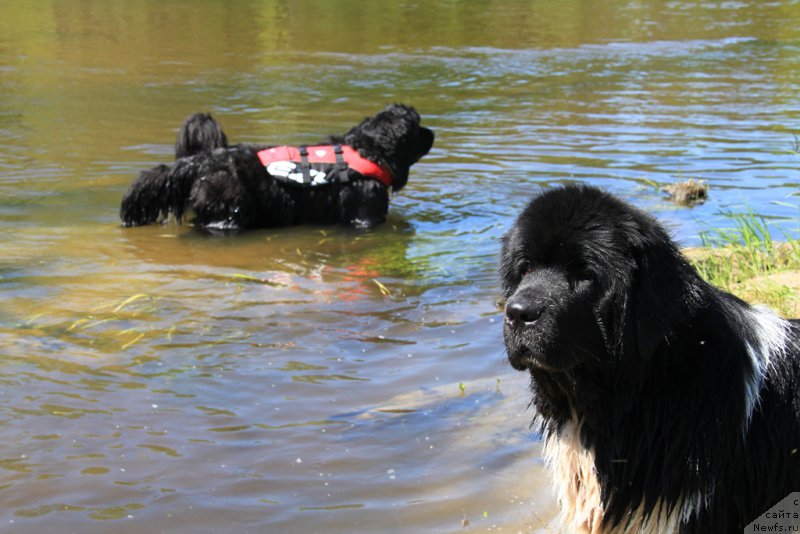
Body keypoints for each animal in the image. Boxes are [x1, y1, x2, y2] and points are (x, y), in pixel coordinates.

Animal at [119, 104, 432, 230]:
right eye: (417, 127)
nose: (432, 132)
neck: (369, 150)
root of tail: (204, 160)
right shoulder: (366, 214)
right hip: (228, 208)